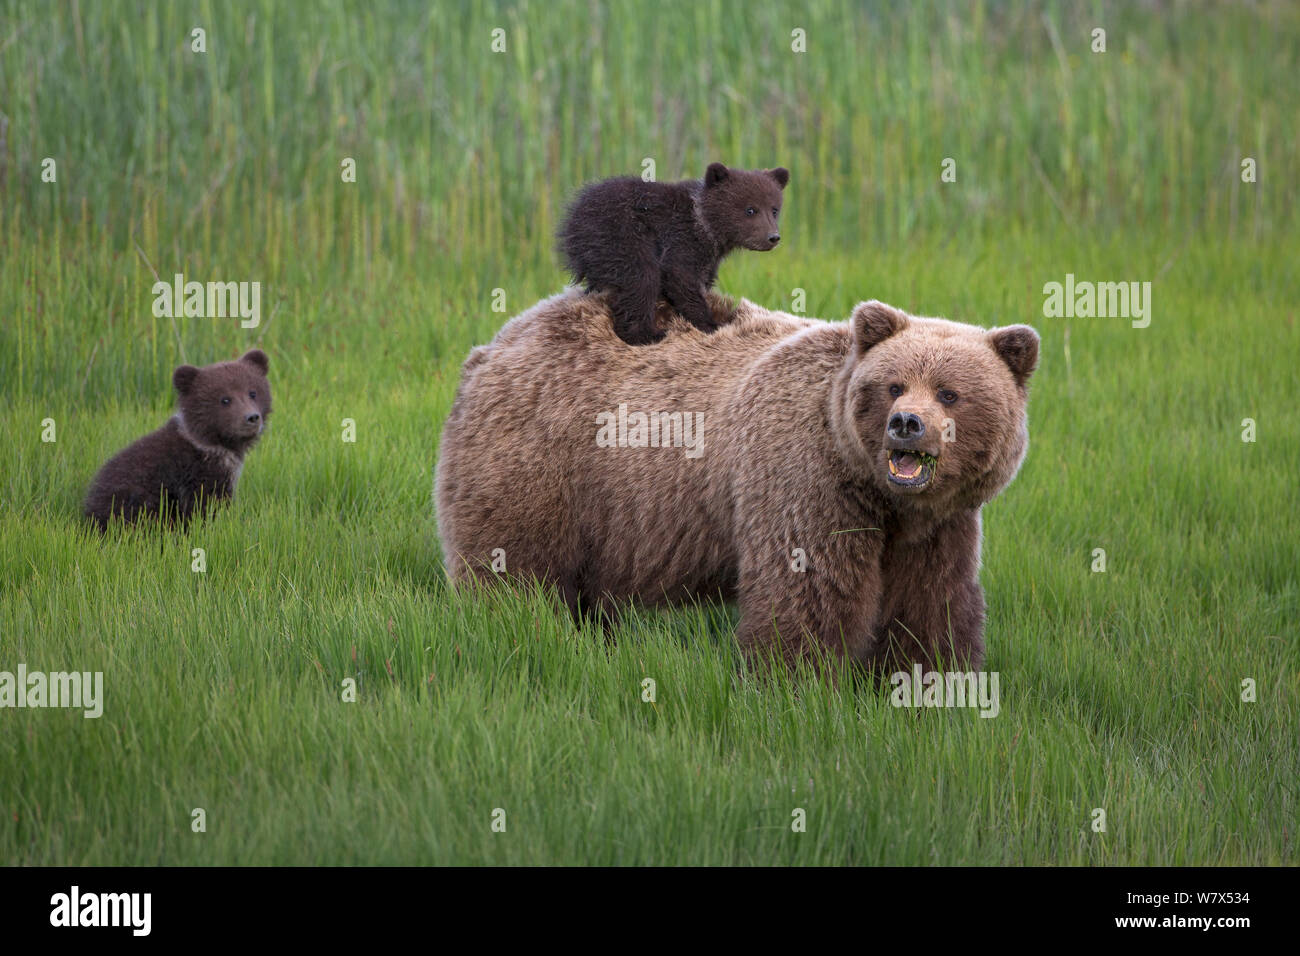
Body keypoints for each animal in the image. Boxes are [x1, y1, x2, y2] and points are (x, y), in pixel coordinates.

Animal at [84, 350, 272, 531]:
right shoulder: (196, 476)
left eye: (253, 392)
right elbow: (205, 507)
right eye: (225, 399)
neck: (214, 446)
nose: (252, 417)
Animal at [435, 292, 1039, 675]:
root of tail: (497, 341)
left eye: (950, 393)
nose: (906, 424)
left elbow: (931, 603)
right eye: (893, 385)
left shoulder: (939, 526)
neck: (879, 494)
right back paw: (511, 628)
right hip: (541, 460)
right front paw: (796, 683)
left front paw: (929, 684)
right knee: (516, 567)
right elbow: (807, 591)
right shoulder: (806, 479)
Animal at [557, 162, 789, 345]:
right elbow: (680, 276)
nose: (773, 237)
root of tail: (572, 220)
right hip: (619, 236)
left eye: (774, 209)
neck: (705, 226)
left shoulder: (708, 257)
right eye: (750, 210)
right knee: (641, 278)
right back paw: (646, 334)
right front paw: (711, 323)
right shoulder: (681, 238)